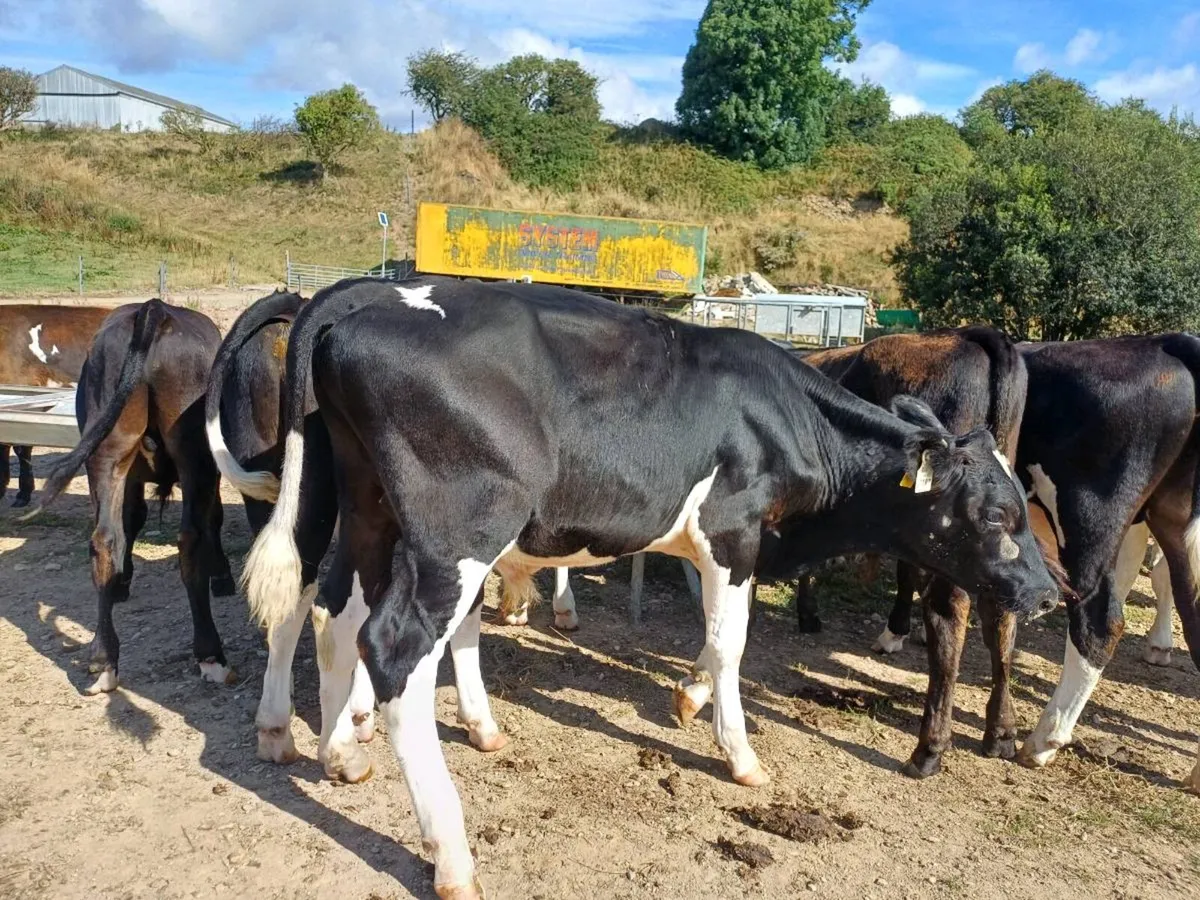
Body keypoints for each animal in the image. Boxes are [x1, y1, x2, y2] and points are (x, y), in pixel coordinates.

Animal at [27, 299, 237, 694]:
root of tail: (154, 309)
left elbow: (131, 519)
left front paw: (121, 581)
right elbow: (210, 519)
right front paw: (221, 577)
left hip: (107, 449)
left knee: (104, 538)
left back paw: (103, 658)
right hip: (195, 456)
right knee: (189, 539)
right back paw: (210, 654)